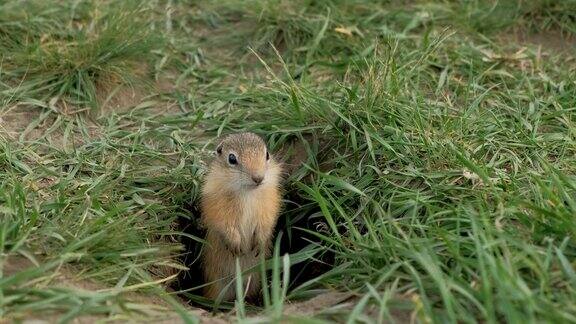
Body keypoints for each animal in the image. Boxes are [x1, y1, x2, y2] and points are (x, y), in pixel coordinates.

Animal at [200, 132, 284, 302]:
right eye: (232, 159)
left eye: (267, 154)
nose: (258, 178)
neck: (247, 192)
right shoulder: (217, 206)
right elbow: (224, 224)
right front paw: (235, 244)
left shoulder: (269, 203)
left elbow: (266, 222)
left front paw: (260, 242)